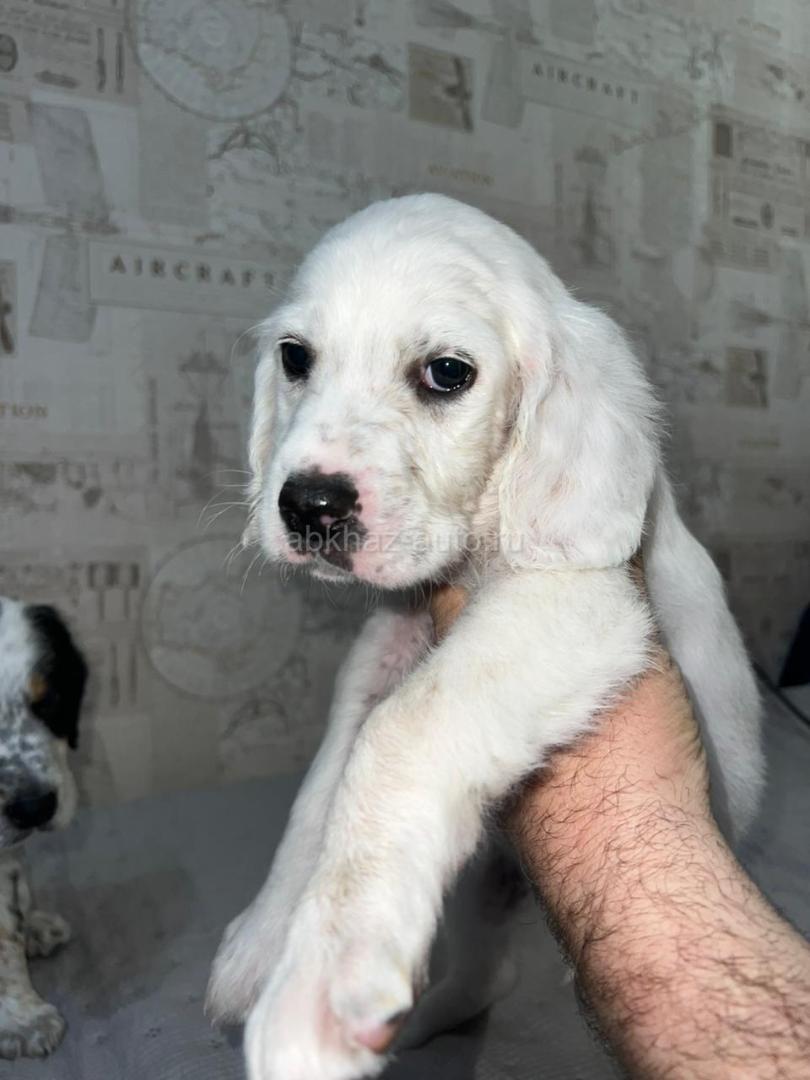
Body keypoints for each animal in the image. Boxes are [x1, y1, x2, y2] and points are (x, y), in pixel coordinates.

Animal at [206, 193, 765, 1080]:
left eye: (447, 373)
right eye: (295, 357)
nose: (310, 507)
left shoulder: (583, 604)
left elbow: (397, 734)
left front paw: (325, 977)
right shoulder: (392, 641)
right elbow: (324, 781)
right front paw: (264, 940)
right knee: (485, 975)